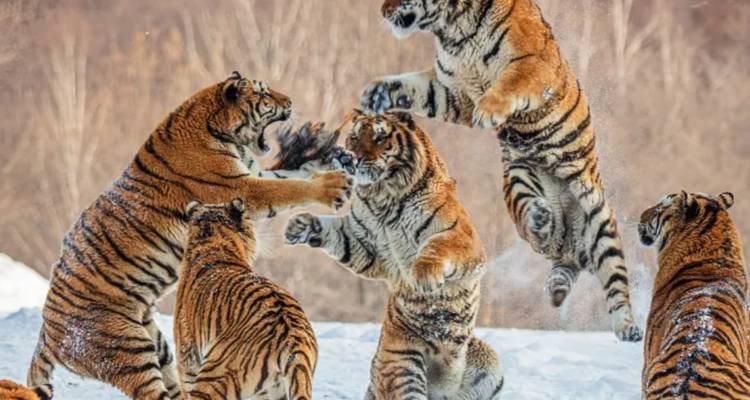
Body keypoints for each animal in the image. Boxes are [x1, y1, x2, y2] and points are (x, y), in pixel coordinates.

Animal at [285, 110, 504, 400]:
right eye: (354, 137)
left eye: (379, 138)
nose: (354, 158)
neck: (384, 196)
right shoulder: (364, 243)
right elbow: (336, 234)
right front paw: (300, 225)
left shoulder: (457, 235)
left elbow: (435, 248)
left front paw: (424, 276)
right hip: (400, 361)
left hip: (488, 364)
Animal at [359, 0, 642, 342]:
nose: (383, 12)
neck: (452, 29)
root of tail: (569, 247)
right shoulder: (453, 88)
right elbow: (414, 87)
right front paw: (377, 92)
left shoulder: (532, 64)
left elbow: (510, 83)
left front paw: (488, 111)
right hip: (519, 179)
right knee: (543, 239)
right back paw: (542, 226)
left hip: (599, 218)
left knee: (615, 283)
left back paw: (628, 328)